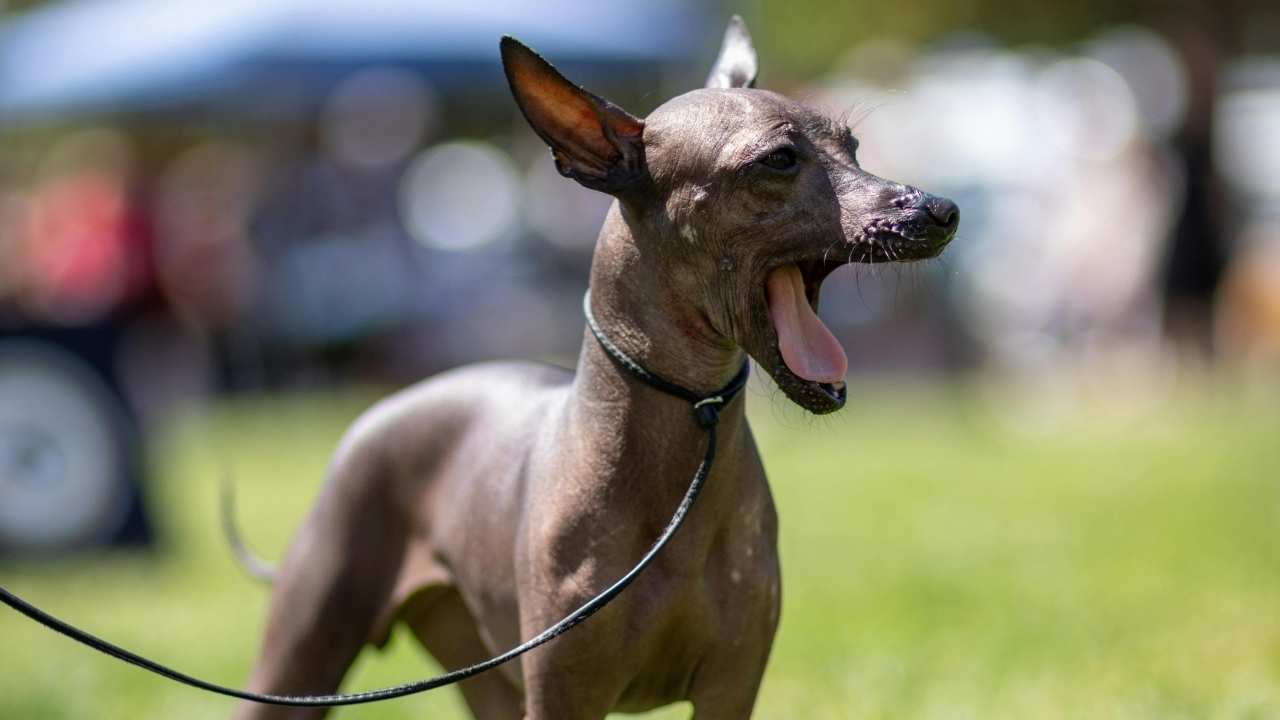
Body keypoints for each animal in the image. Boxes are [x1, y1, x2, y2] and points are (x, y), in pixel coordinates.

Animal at [230, 15, 957, 712]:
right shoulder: (565, 693)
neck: (689, 435)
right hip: (299, 666)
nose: (941, 210)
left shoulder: (731, 686)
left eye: (852, 147)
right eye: (778, 160)